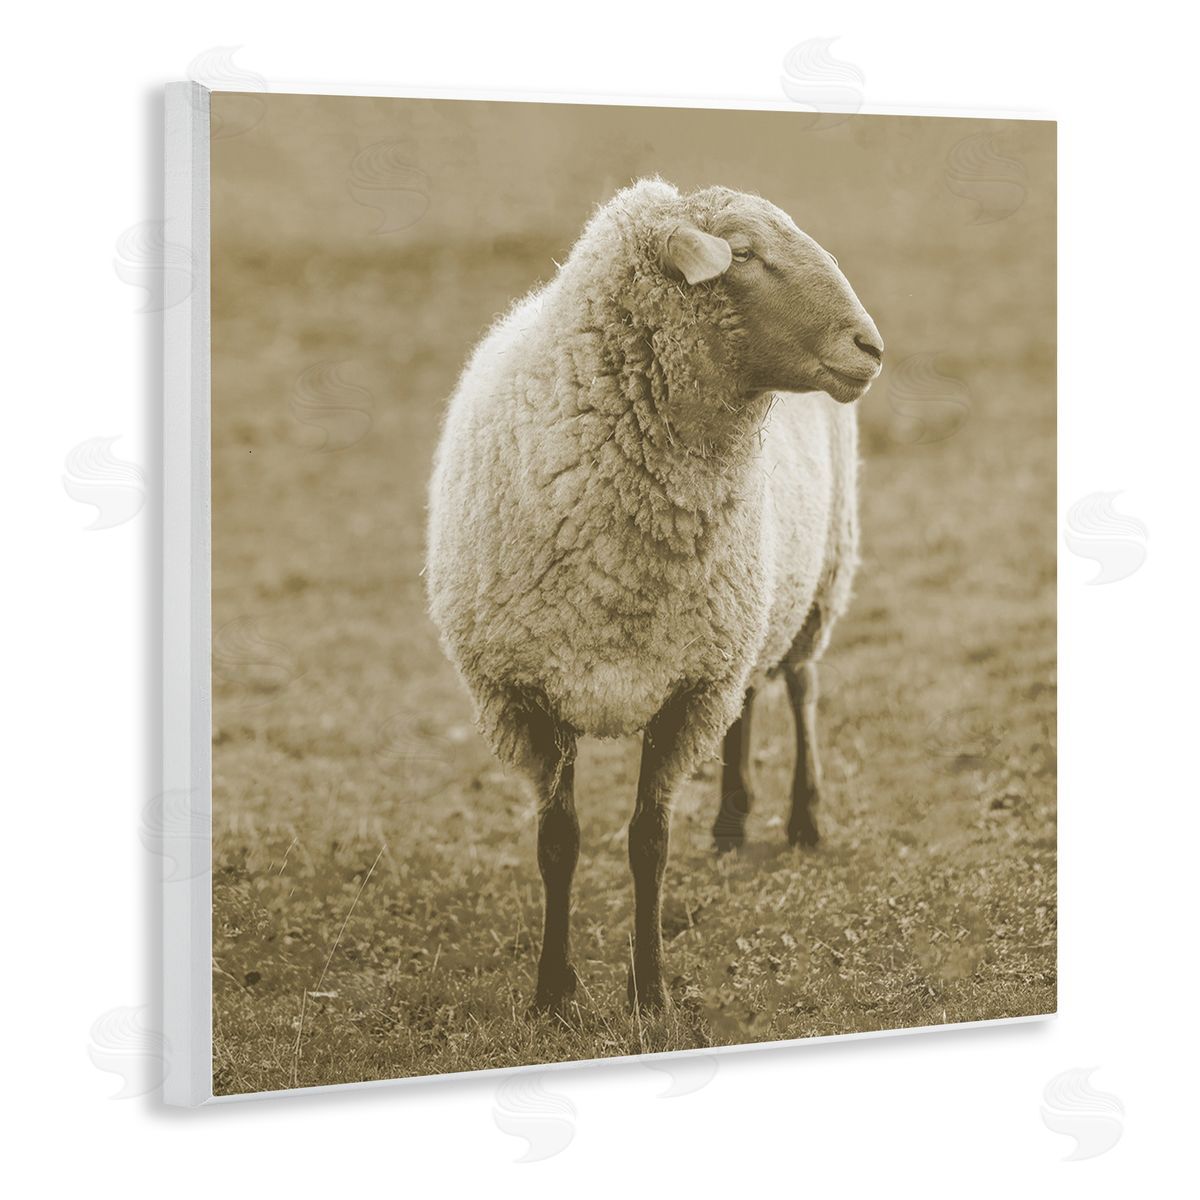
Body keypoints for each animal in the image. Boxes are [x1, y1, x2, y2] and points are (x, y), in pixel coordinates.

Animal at [425, 177, 883, 1013]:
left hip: (821, 574)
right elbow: (559, 843)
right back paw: (731, 823)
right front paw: (553, 992)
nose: (871, 348)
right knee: (752, 697)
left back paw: (804, 817)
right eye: (745, 255)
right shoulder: (531, 693)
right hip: (747, 611)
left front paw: (650, 991)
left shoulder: (686, 692)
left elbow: (649, 843)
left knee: (800, 685)